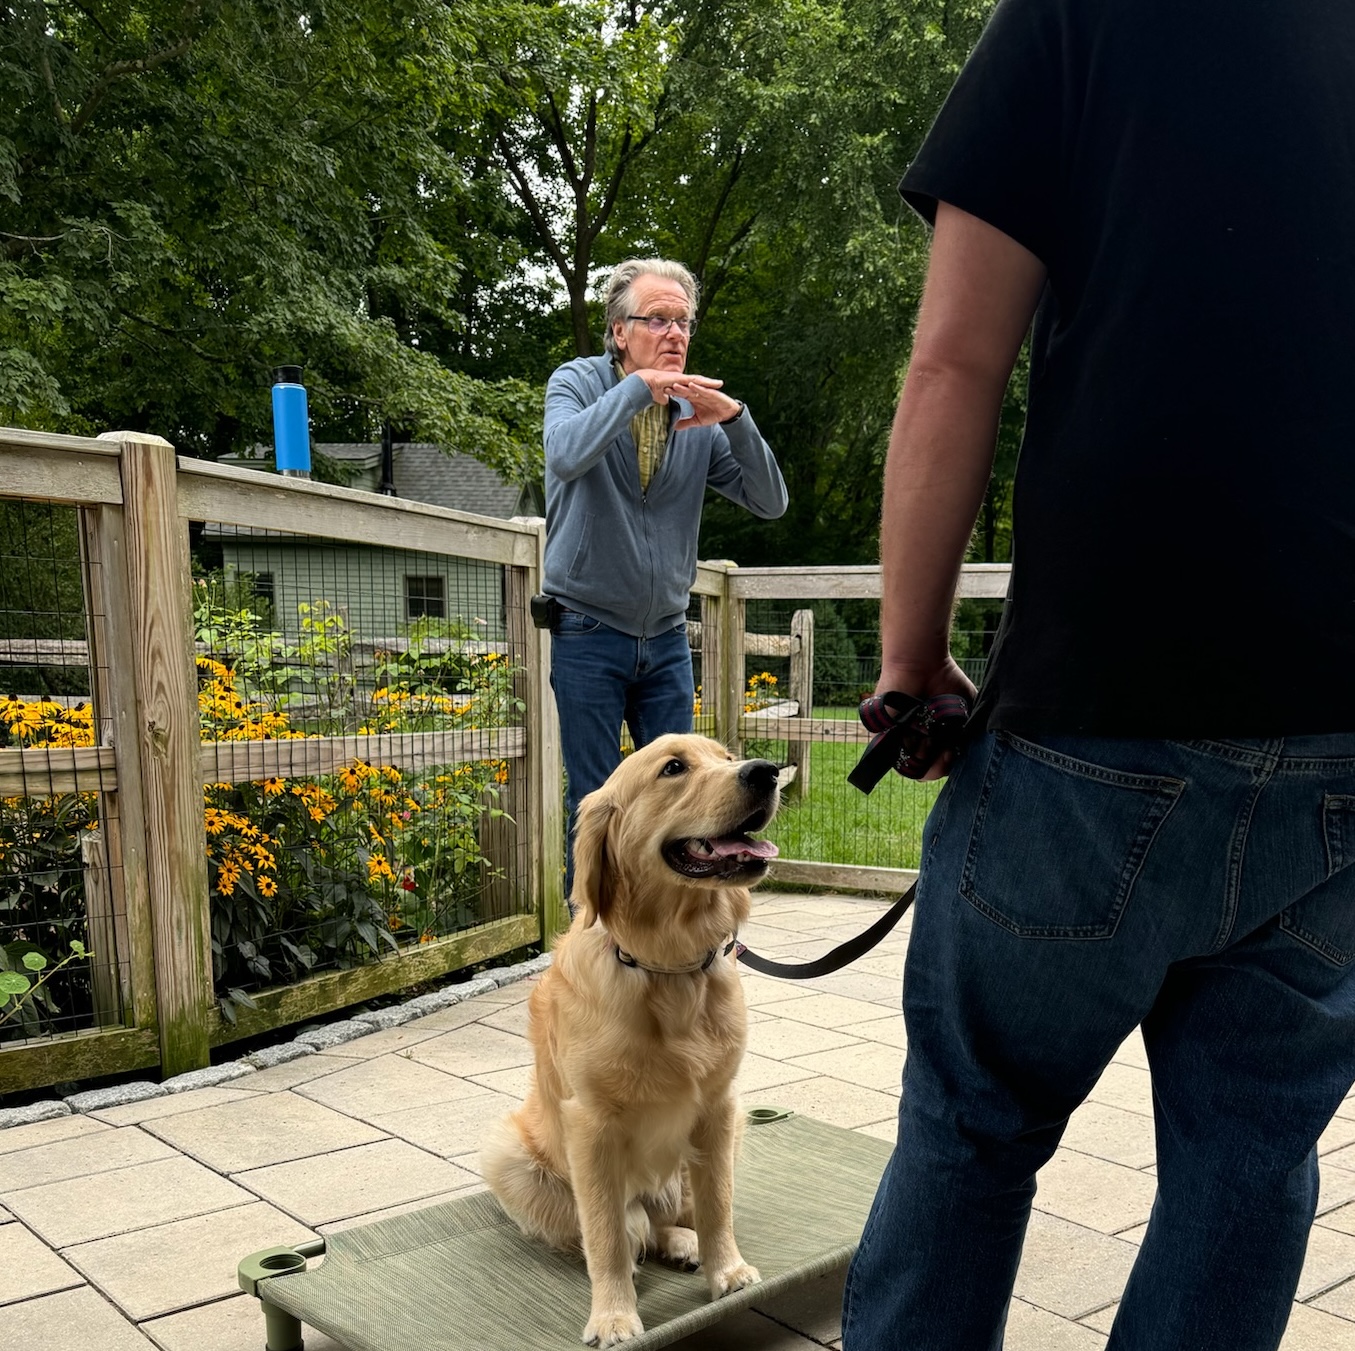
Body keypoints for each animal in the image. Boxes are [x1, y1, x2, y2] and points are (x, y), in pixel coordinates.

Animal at [485, 731, 785, 1344]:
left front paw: (727, 1270)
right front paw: (614, 1316)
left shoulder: (719, 1106)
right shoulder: (591, 1125)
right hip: (510, 1156)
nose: (767, 772)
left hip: (733, 1128)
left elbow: (719, 1205)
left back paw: (685, 1242)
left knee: (669, 1216)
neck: (668, 968)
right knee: (623, 1229)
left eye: (725, 758)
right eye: (673, 768)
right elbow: (604, 1233)